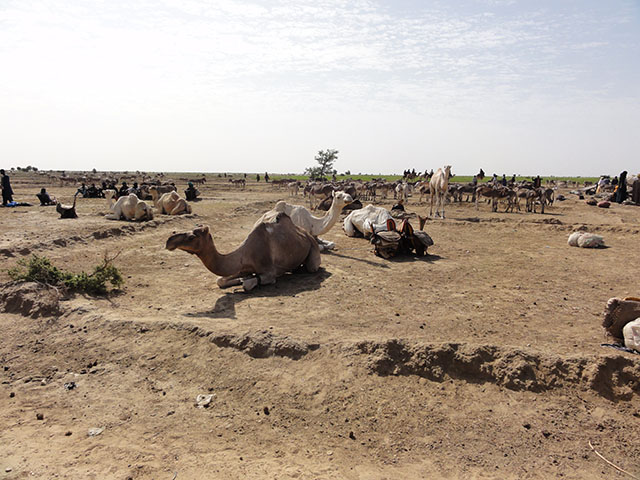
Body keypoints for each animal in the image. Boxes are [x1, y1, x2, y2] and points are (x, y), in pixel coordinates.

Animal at [166, 212, 320, 290]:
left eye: (192, 237)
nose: (169, 241)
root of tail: (307, 233)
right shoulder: (242, 267)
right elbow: (220, 280)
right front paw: (240, 279)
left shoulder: (269, 272)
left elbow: (249, 284)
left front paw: (244, 282)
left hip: (313, 249)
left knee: (312, 267)